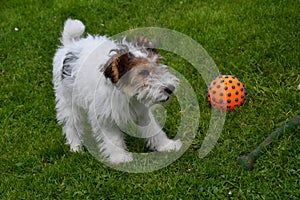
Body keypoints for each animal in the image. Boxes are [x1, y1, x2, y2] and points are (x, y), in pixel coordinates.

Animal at [52, 18, 182, 163]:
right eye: (143, 72)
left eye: (158, 64)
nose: (170, 89)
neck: (127, 94)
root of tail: (70, 45)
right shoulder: (104, 116)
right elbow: (112, 138)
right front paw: (120, 158)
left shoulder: (142, 111)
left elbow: (153, 129)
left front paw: (167, 145)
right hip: (67, 101)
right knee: (71, 124)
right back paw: (76, 147)